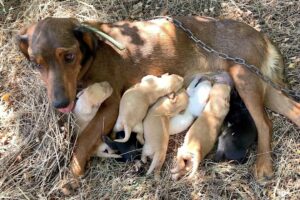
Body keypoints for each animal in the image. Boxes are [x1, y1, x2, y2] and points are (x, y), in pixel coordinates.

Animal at [18, 16, 300, 183]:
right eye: (37, 63)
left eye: (69, 56)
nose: (59, 104)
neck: (92, 53)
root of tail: (259, 34)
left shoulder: (112, 104)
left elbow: (85, 138)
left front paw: (71, 175)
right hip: (259, 85)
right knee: (294, 109)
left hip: (245, 79)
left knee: (265, 124)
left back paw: (263, 165)